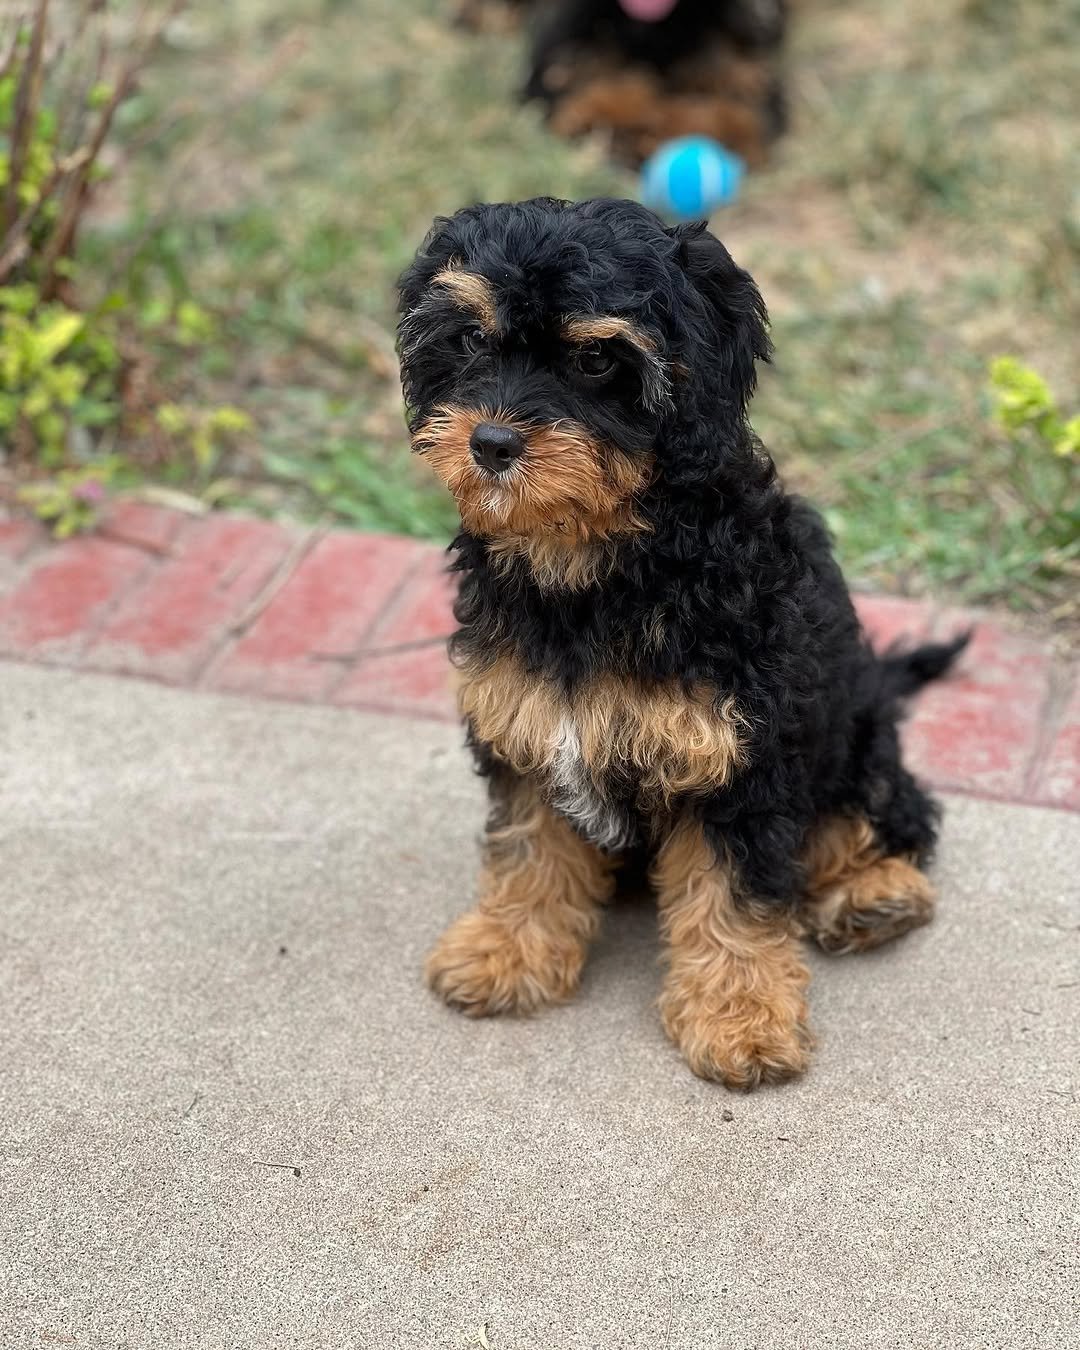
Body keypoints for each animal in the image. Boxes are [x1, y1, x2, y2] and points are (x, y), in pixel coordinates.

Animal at [394, 197, 961, 1085]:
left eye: (596, 358)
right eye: (473, 339)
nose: (490, 445)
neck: (598, 563)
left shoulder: (741, 754)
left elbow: (735, 892)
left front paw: (741, 1020)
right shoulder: (526, 729)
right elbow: (528, 847)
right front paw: (506, 951)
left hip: (854, 732)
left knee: (886, 815)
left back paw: (874, 894)